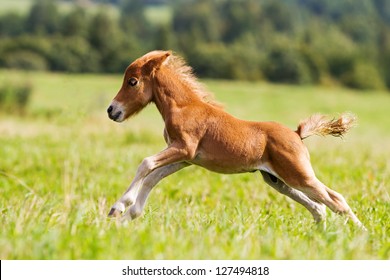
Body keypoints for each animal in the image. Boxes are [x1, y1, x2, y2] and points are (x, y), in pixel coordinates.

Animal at [106, 50, 366, 230]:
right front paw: (128, 215)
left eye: (133, 82)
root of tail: (296, 133)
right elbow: (152, 178)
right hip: (277, 180)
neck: (184, 107)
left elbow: (146, 164)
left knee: (335, 199)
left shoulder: (183, 149)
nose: (112, 110)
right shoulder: (185, 158)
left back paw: (362, 234)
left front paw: (119, 207)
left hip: (299, 175)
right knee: (318, 206)